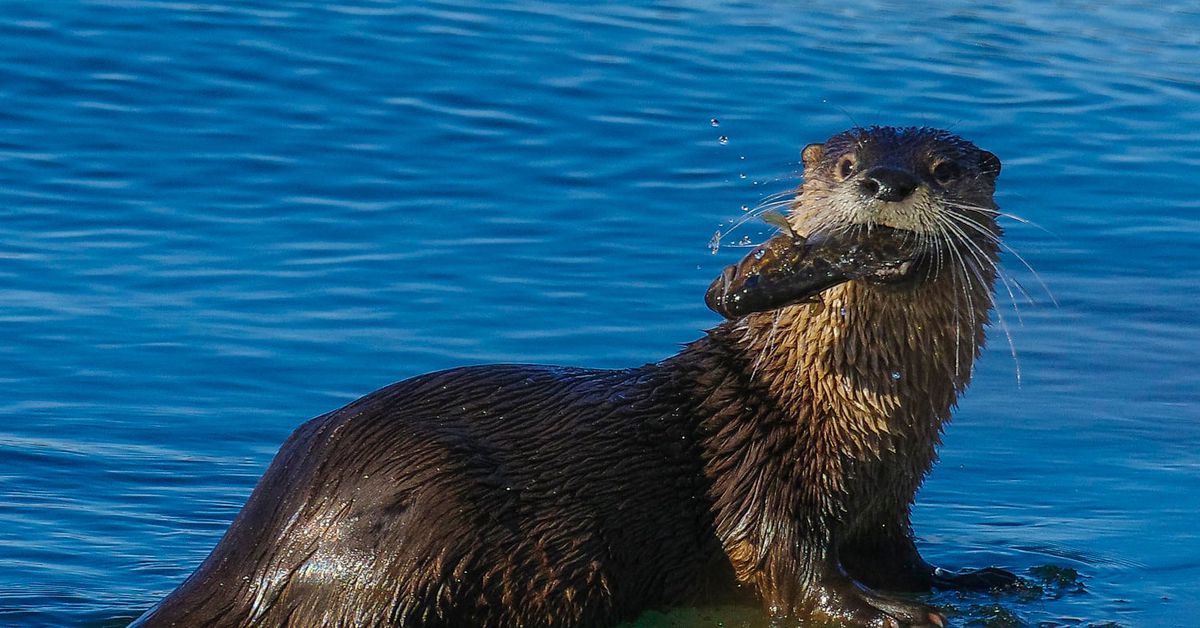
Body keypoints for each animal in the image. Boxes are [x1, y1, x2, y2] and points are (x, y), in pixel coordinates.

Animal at [133, 126, 1015, 628]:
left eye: (944, 167)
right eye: (846, 163)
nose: (887, 183)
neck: (836, 410)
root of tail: (262, 538)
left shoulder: (888, 502)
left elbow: (906, 561)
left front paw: (978, 579)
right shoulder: (761, 473)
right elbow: (780, 561)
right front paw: (886, 616)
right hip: (411, 535)